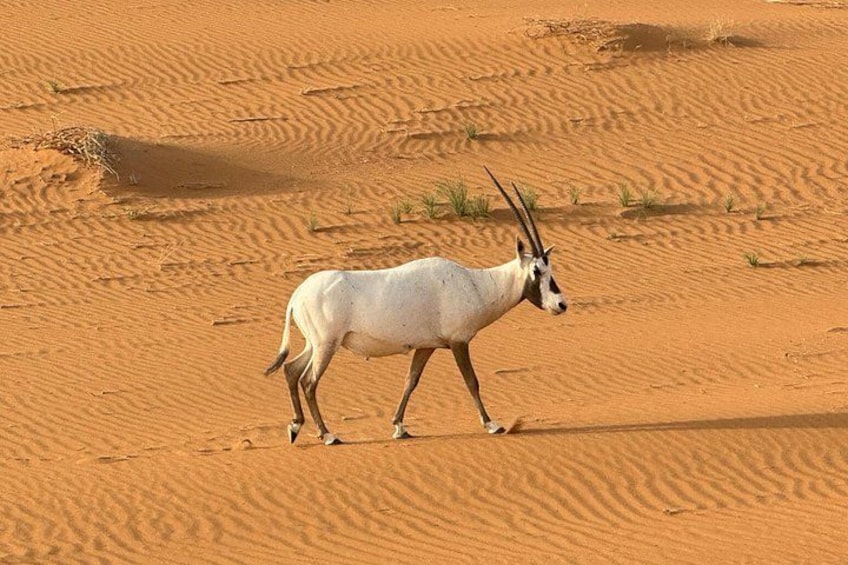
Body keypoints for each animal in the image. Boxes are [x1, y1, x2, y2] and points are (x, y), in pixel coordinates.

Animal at [264, 168, 566, 445]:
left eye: (550, 269)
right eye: (537, 271)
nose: (561, 304)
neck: (476, 283)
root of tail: (297, 296)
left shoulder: (426, 346)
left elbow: (411, 380)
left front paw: (399, 427)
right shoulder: (458, 342)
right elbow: (471, 381)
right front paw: (492, 424)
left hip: (314, 344)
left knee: (291, 370)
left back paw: (295, 427)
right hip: (327, 345)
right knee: (309, 381)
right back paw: (327, 435)